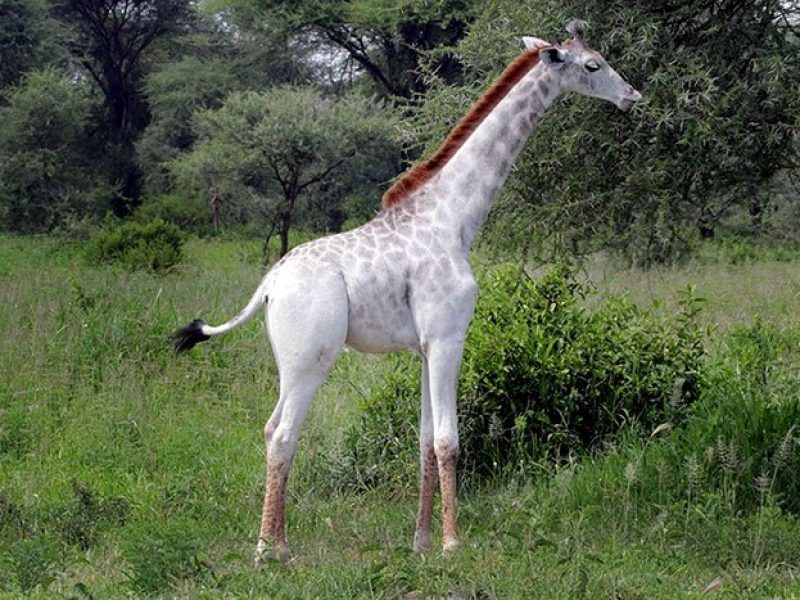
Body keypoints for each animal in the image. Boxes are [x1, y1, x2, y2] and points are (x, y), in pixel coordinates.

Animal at [175, 19, 644, 564]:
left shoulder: (423, 346)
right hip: (311, 358)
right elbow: (447, 439)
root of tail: (269, 285)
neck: (454, 219)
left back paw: (281, 543)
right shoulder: (447, 337)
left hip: (288, 363)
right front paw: (451, 544)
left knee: (273, 429)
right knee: (285, 435)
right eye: (593, 65)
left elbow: (422, 439)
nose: (632, 96)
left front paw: (420, 542)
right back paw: (267, 552)